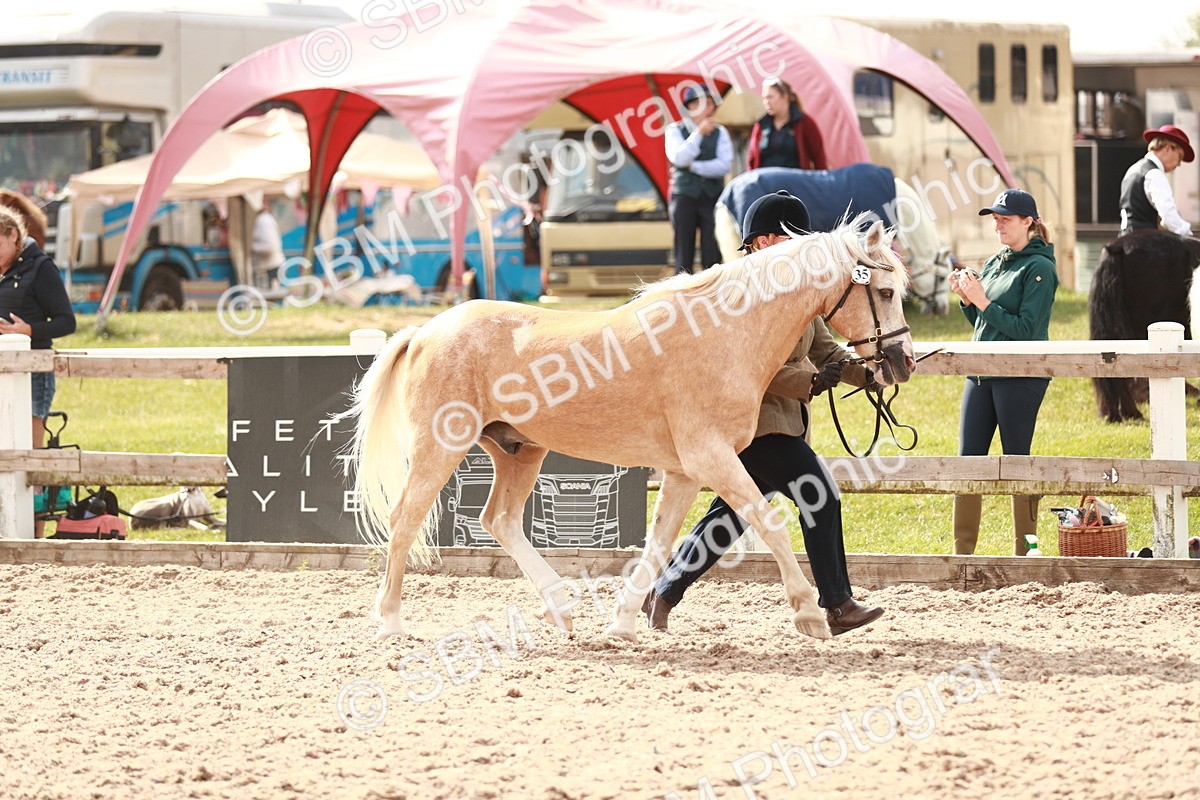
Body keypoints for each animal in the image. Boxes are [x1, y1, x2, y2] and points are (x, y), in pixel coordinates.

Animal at [344, 216, 915, 644]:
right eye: (886, 290)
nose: (902, 362)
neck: (724, 332)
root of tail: (427, 330)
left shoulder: (686, 472)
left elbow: (660, 544)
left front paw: (622, 624)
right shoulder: (711, 458)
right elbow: (769, 525)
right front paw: (809, 616)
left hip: (518, 450)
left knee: (498, 521)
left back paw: (562, 610)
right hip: (441, 447)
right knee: (405, 519)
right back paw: (390, 622)